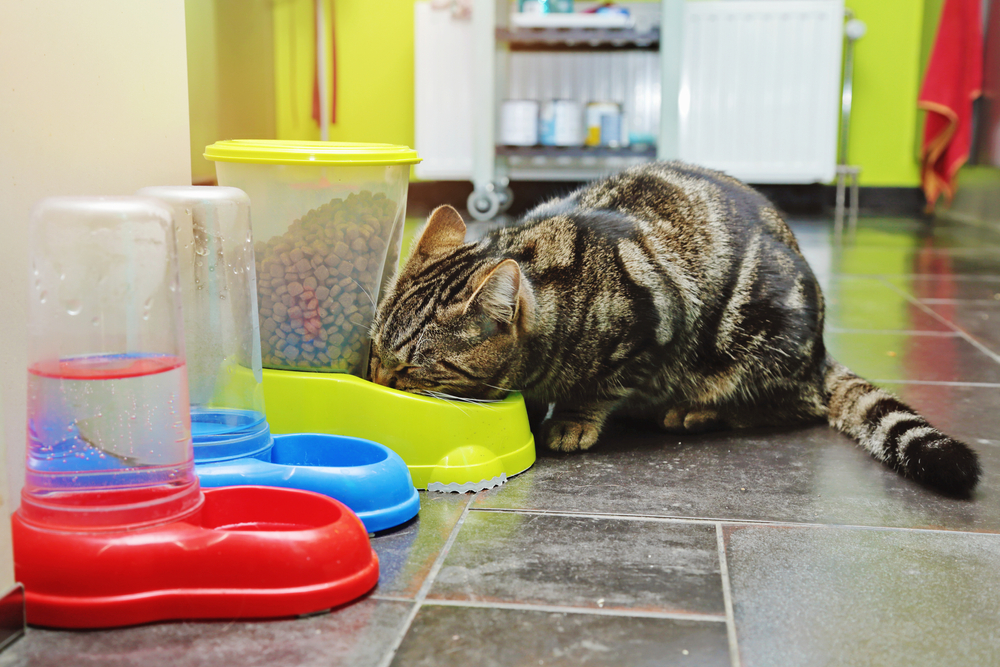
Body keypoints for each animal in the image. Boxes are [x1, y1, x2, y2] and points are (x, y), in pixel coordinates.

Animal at [372, 160, 980, 496]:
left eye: (412, 368)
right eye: (375, 350)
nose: (376, 380)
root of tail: (820, 351)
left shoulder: (653, 326)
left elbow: (598, 389)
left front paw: (571, 421)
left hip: (760, 343)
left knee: (796, 405)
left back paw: (695, 411)